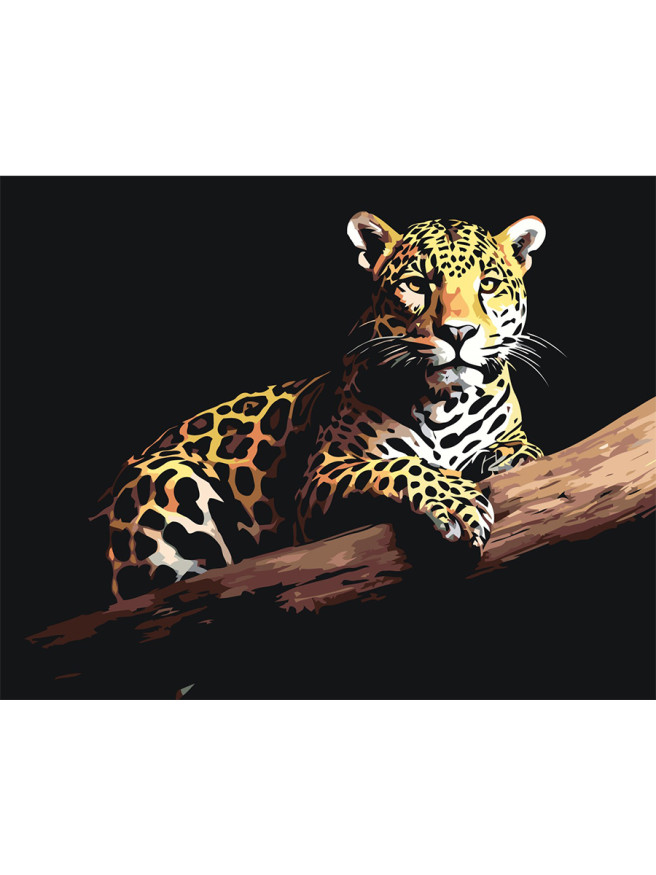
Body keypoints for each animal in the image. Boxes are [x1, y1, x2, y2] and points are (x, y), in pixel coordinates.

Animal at [96, 211, 546, 602]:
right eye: (417, 284)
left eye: (488, 284)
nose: (458, 332)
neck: (445, 401)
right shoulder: (320, 479)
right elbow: (399, 466)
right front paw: (457, 503)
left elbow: (524, 447)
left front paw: (501, 459)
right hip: (168, 476)